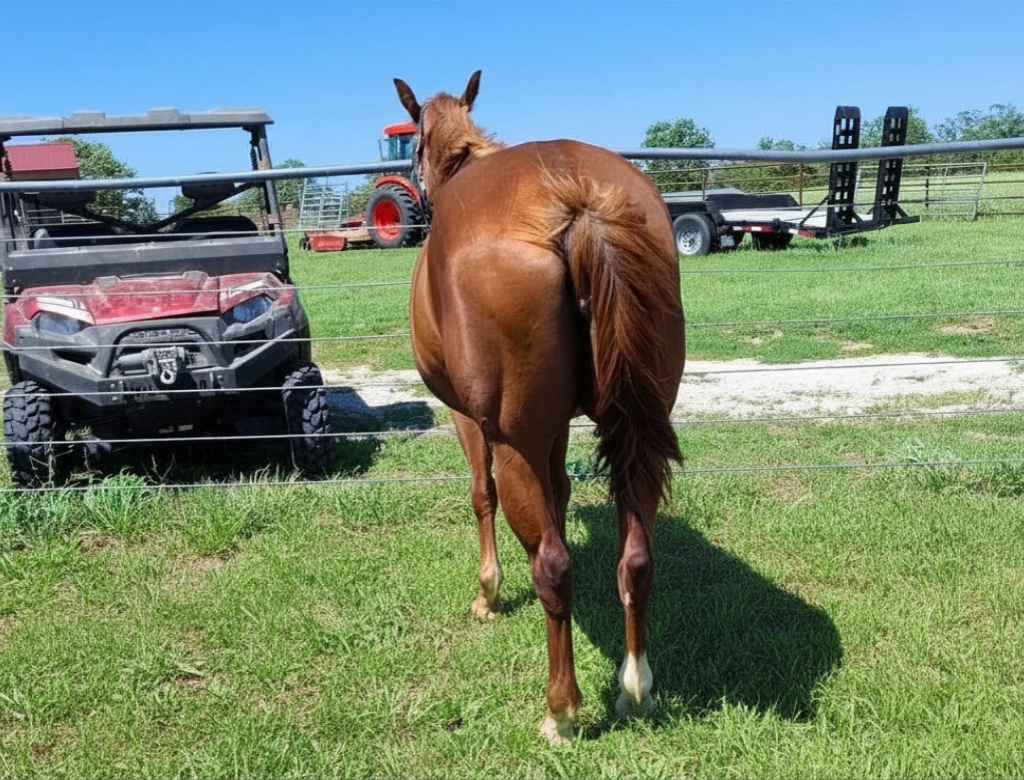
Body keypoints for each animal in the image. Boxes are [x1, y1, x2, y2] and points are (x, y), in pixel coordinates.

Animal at [392, 71, 686, 744]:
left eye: (411, 146)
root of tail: (575, 199)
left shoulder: (473, 422)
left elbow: (481, 496)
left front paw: (487, 593)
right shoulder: (556, 432)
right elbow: (561, 492)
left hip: (513, 440)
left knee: (553, 566)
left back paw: (563, 708)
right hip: (637, 435)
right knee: (636, 560)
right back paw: (636, 690)